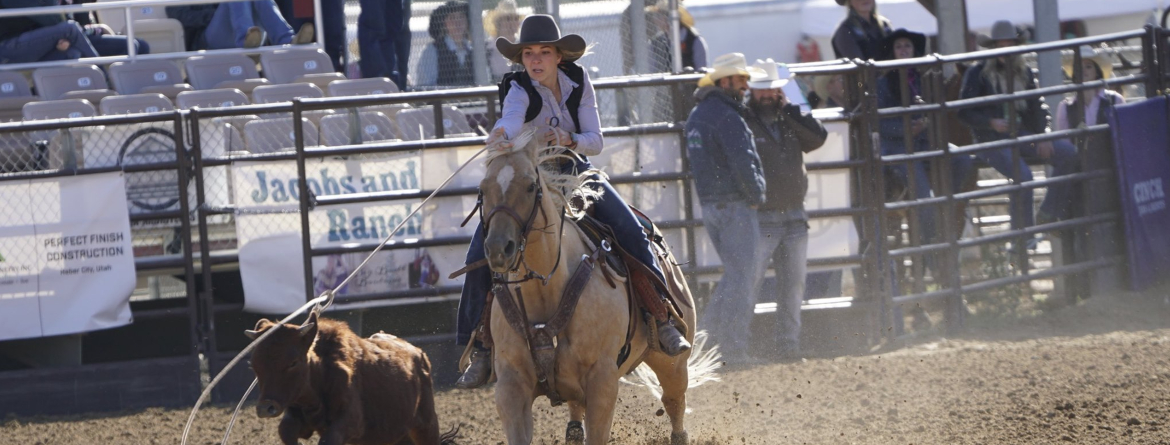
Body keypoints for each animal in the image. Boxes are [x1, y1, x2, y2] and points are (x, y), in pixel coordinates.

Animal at [245, 313, 456, 444]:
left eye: (293, 362)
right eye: (254, 365)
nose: (266, 408)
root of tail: (418, 353)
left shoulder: (351, 423)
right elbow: (285, 430)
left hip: (426, 425)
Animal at [477, 128, 706, 444]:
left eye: (530, 186)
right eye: (483, 189)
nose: (499, 249)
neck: (545, 289)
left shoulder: (603, 382)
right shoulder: (510, 386)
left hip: (672, 362)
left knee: (674, 404)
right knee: (576, 409)